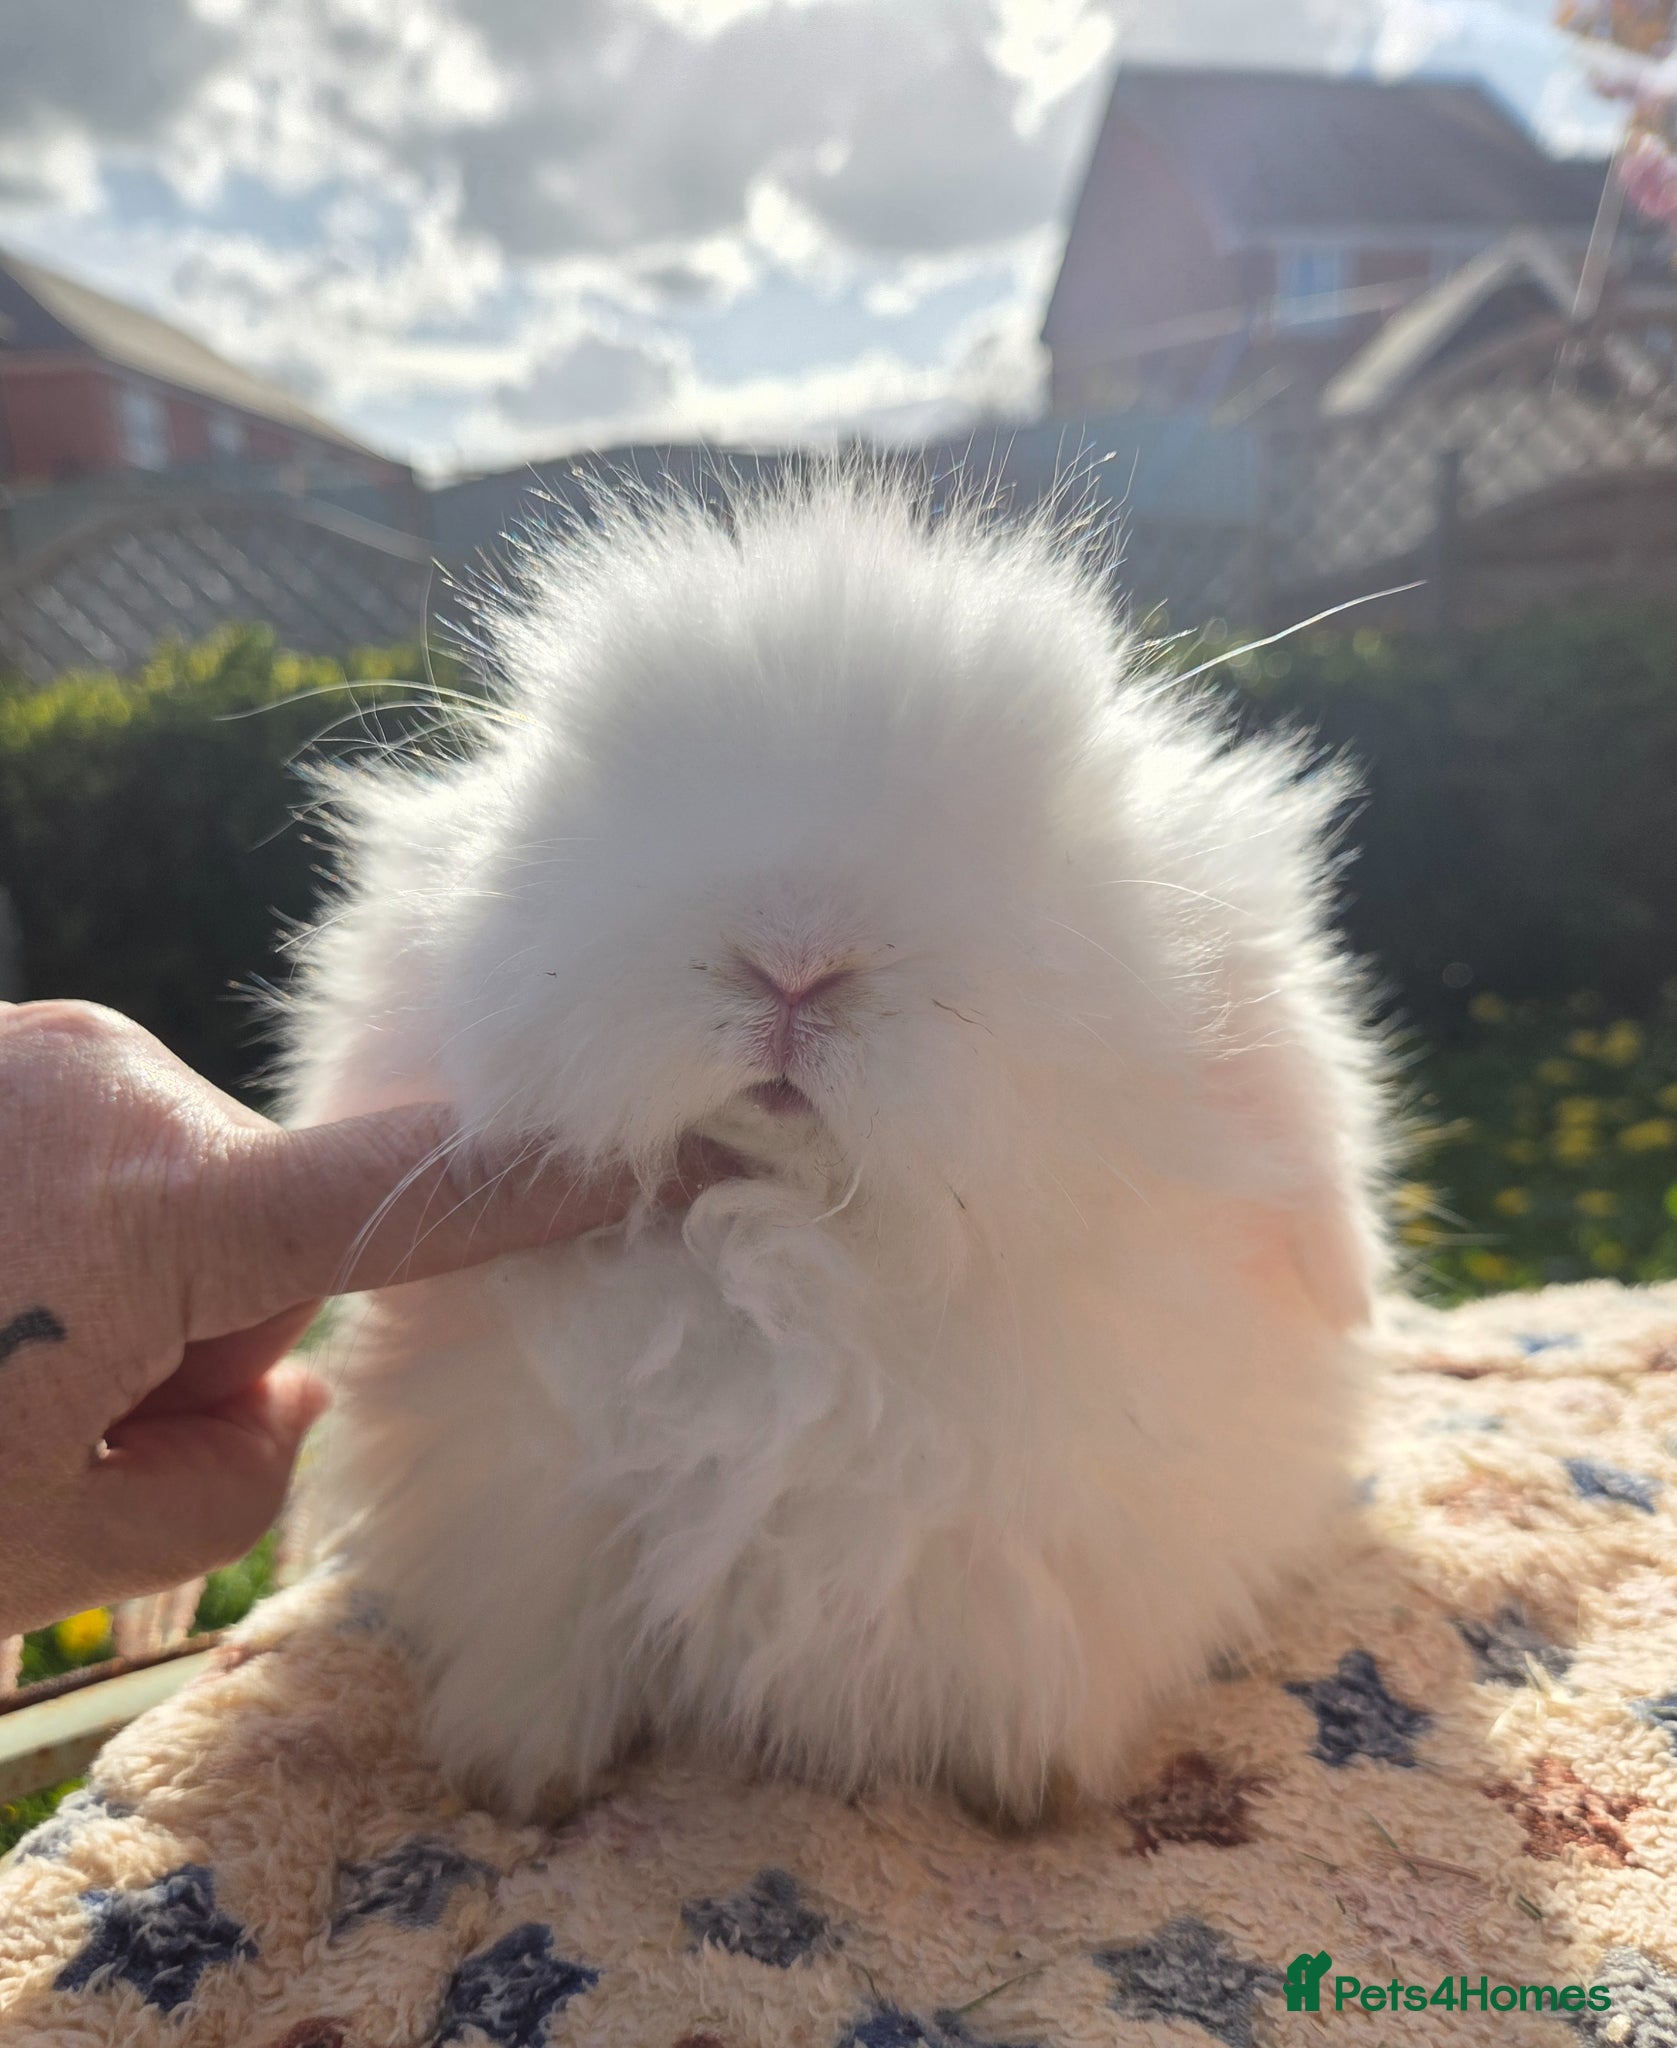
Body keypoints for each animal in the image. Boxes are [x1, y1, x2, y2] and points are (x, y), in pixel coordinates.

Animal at [283, 470, 1390, 1827]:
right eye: (595, 791)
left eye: (1046, 838)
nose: (796, 956)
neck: (796, 1251)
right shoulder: (529, 1509)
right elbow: (545, 1639)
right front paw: (520, 1775)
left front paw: (1033, 1786)